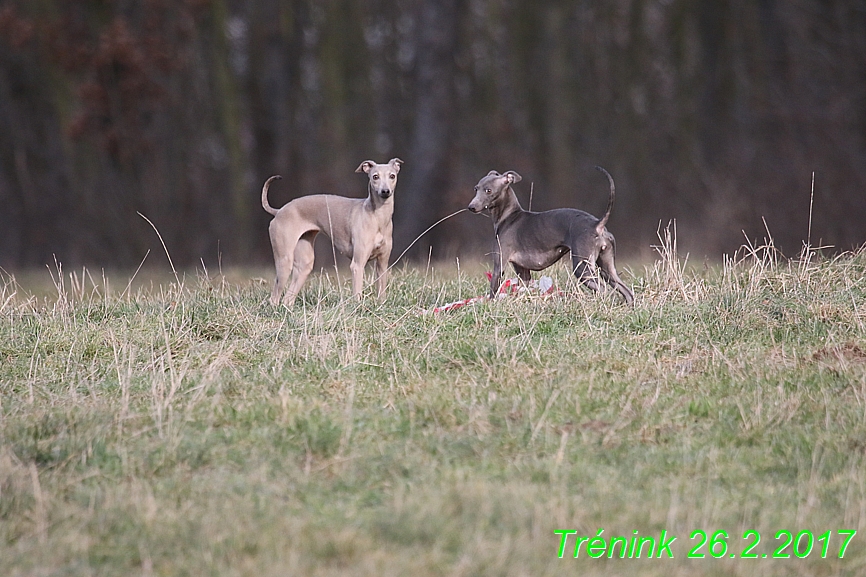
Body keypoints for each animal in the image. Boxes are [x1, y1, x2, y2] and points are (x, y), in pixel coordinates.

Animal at [466, 165, 636, 304]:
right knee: (627, 292)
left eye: (488, 190)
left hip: (583, 269)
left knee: (604, 291)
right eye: (476, 188)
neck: (509, 216)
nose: (471, 207)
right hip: (607, 268)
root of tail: (597, 224)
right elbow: (522, 289)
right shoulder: (523, 272)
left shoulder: (499, 266)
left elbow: (493, 292)